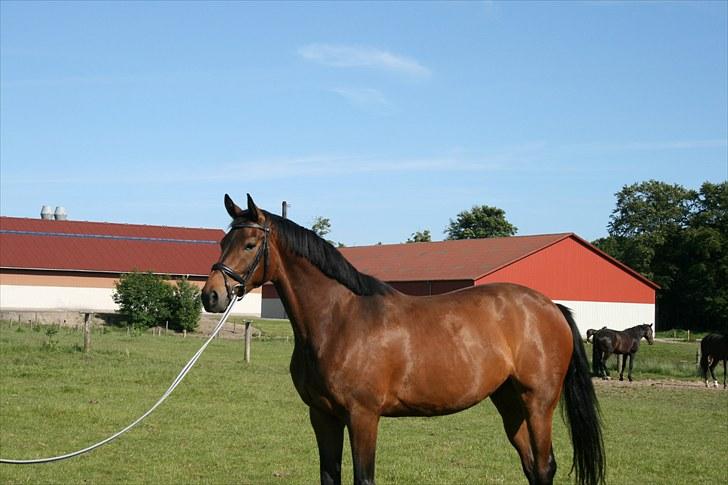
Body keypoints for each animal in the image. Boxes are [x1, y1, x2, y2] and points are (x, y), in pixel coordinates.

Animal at [202, 194, 604, 484]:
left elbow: (363, 479)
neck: (338, 320)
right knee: (532, 467)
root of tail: (549, 306)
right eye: (222, 241)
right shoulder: (323, 416)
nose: (211, 296)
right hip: (509, 402)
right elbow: (329, 476)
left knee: (545, 466)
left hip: (538, 403)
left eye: (250, 244)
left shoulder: (363, 417)